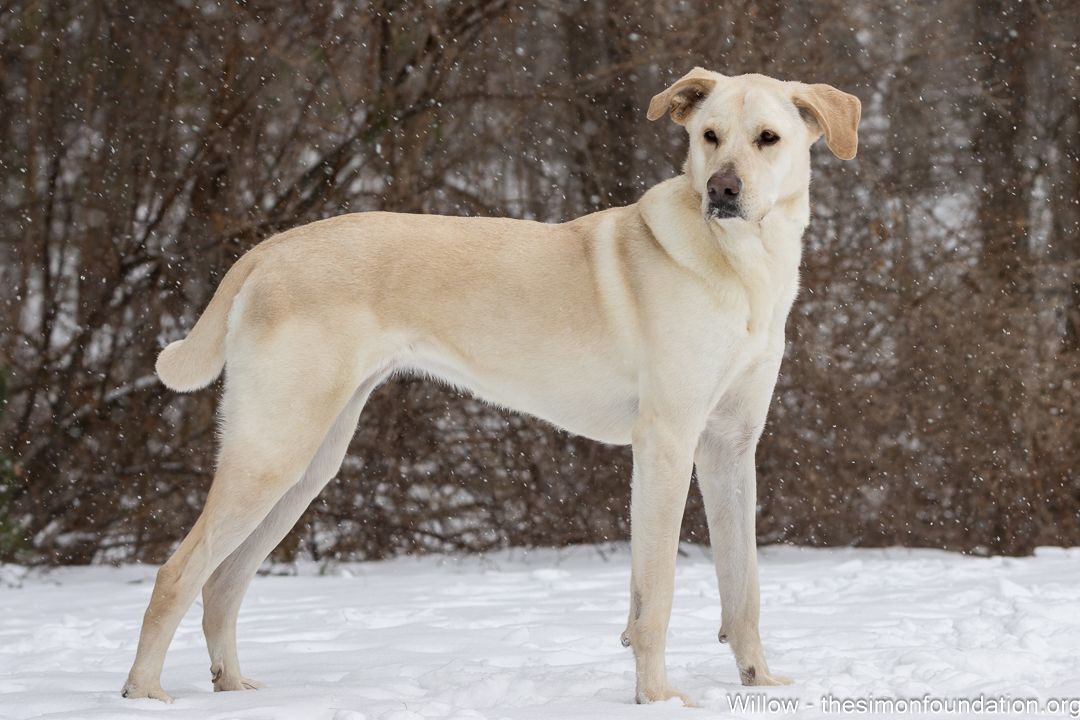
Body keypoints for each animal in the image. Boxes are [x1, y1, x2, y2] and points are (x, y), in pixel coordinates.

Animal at [120, 69, 859, 703]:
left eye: (768, 138)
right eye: (709, 135)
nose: (723, 190)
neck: (745, 264)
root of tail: (269, 249)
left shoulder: (730, 448)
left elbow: (744, 586)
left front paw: (759, 682)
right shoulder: (668, 443)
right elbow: (656, 593)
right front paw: (656, 697)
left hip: (308, 465)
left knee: (222, 584)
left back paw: (232, 686)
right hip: (274, 451)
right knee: (178, 573)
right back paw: (145, 691)